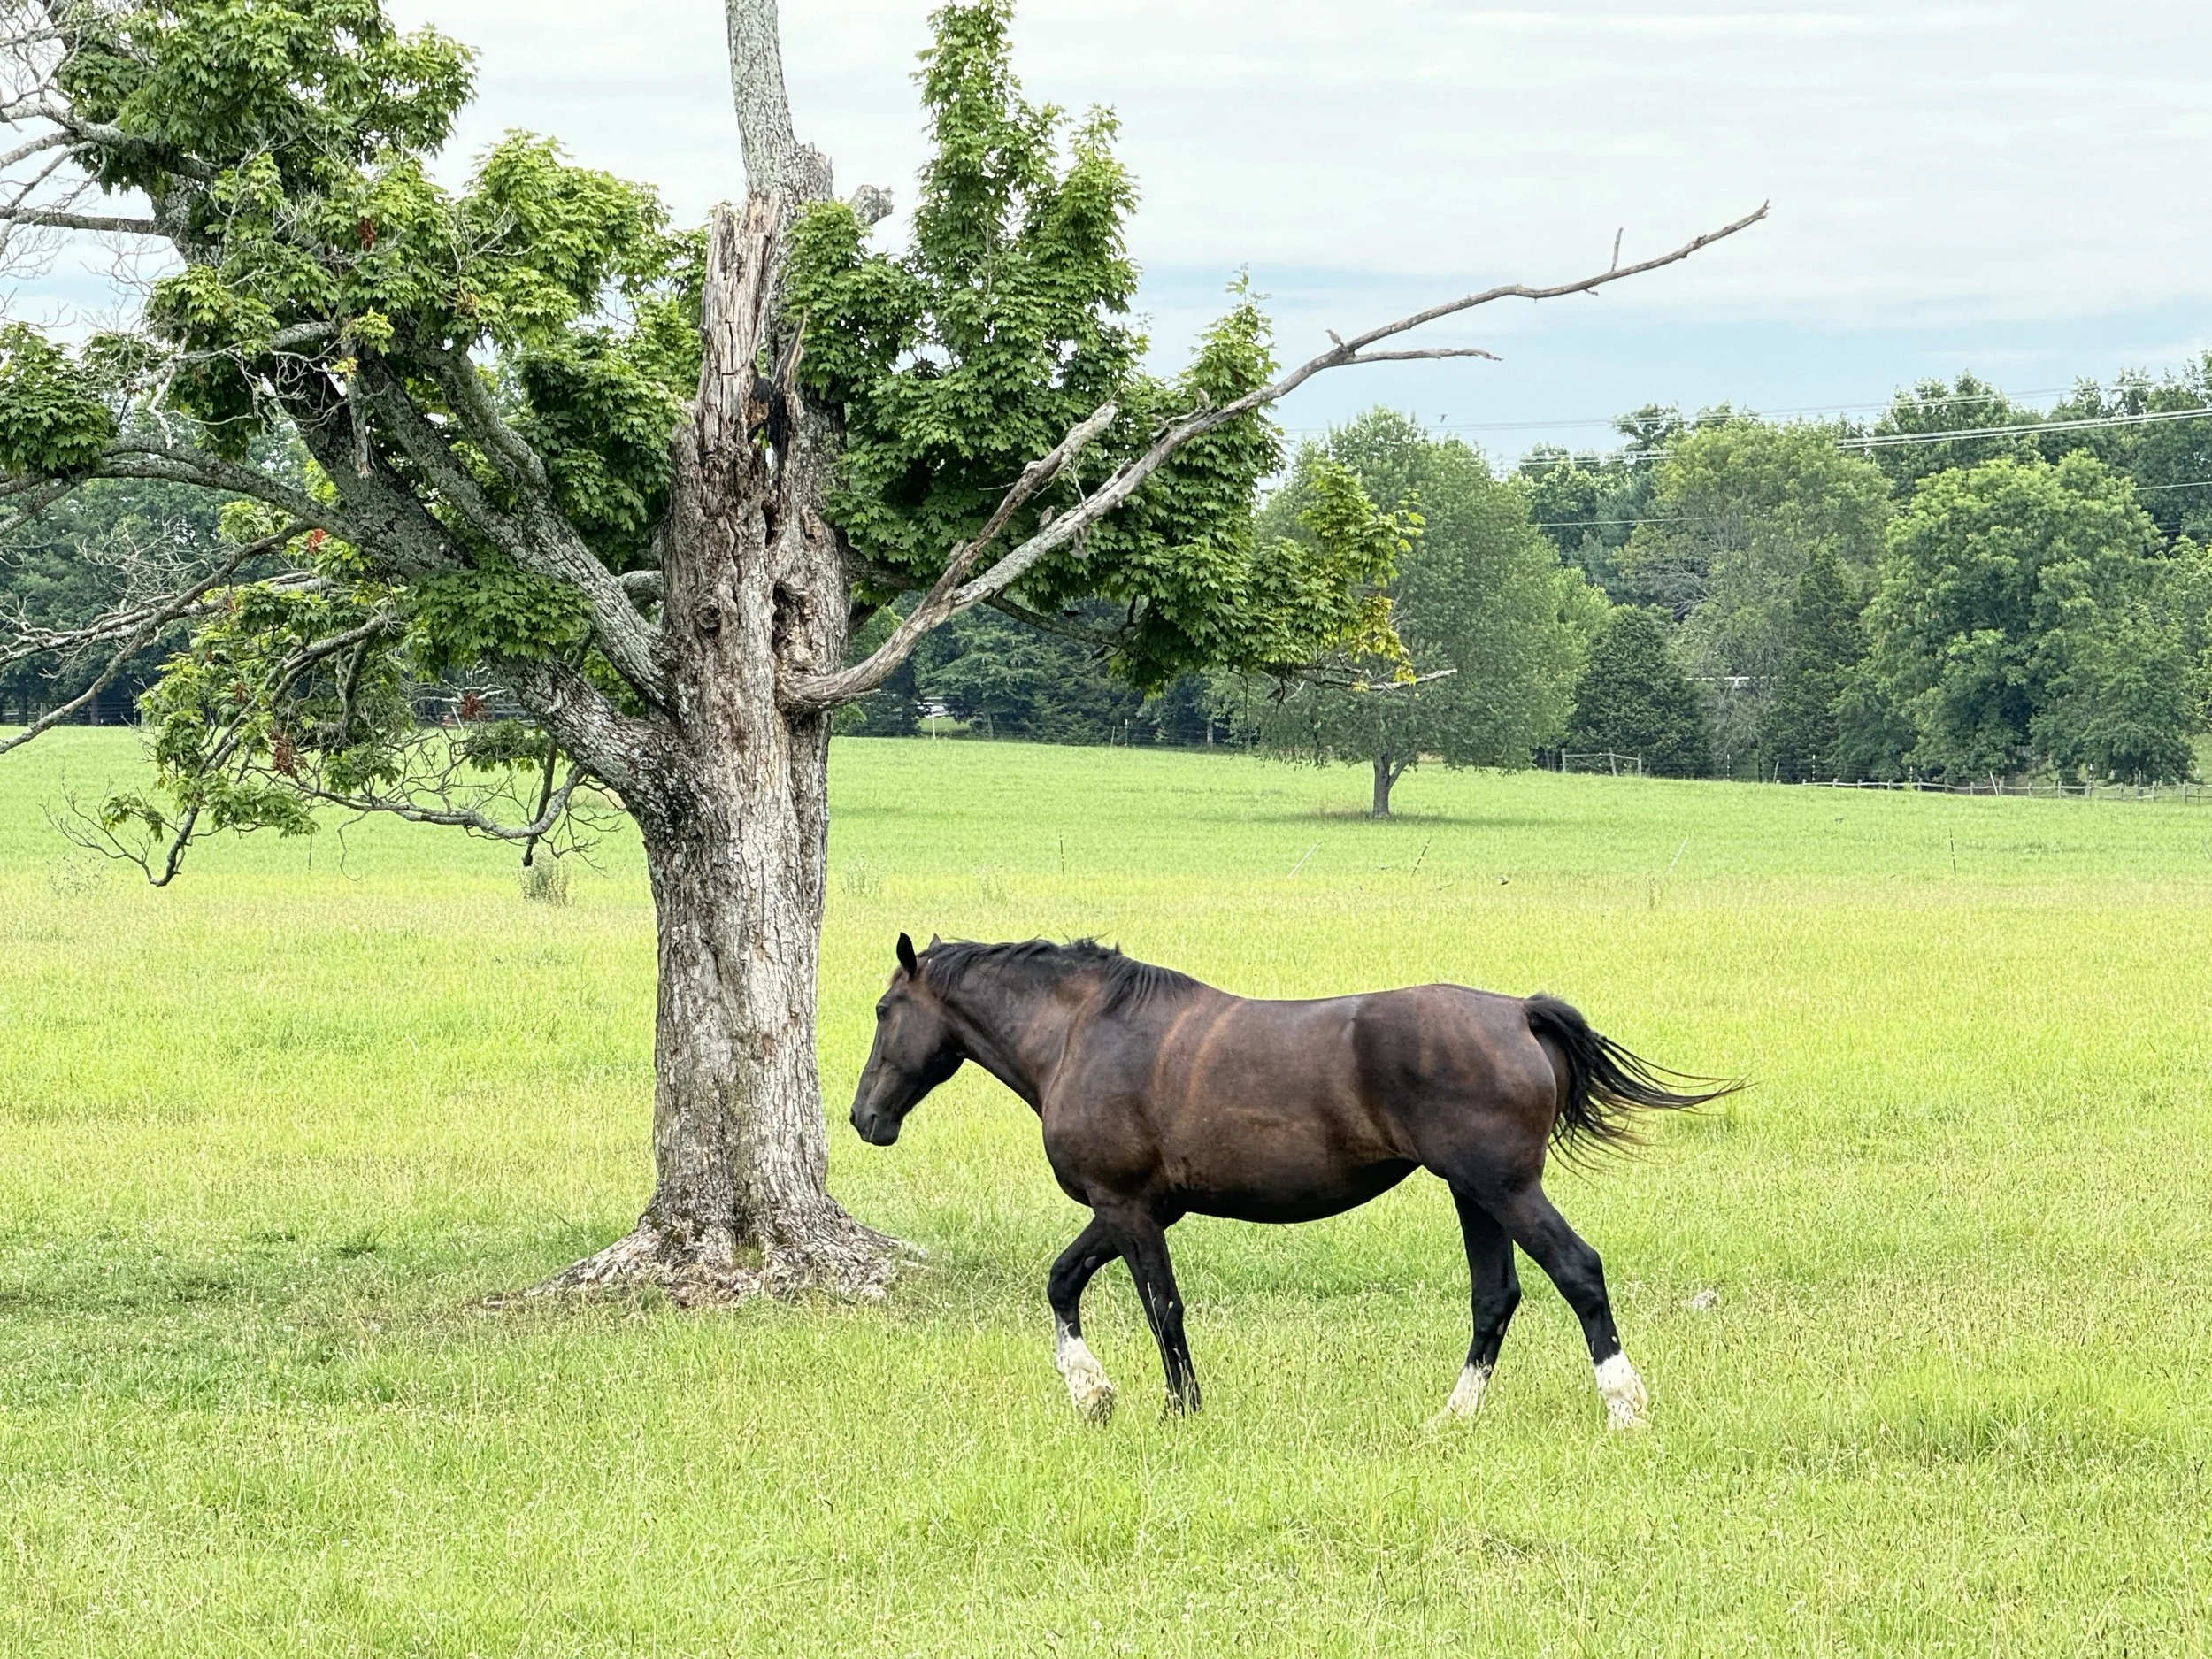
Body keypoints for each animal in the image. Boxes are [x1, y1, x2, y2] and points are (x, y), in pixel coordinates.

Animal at [848, 934, 1739, 1429]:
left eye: (884, 1011)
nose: (865, 1116)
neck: (1079, 1032)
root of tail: (1516, 1011)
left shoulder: (1128, 1208)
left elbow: (1160, 1306)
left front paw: (1178, 1408)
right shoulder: (1129, 1211)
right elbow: (1063, 1282)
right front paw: (1092, 1395)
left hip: (1506, 1190)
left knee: (1578, 1272)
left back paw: (1624, 1406)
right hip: (1476, 1195)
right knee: (1497, 1297)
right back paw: (1451, 1417)